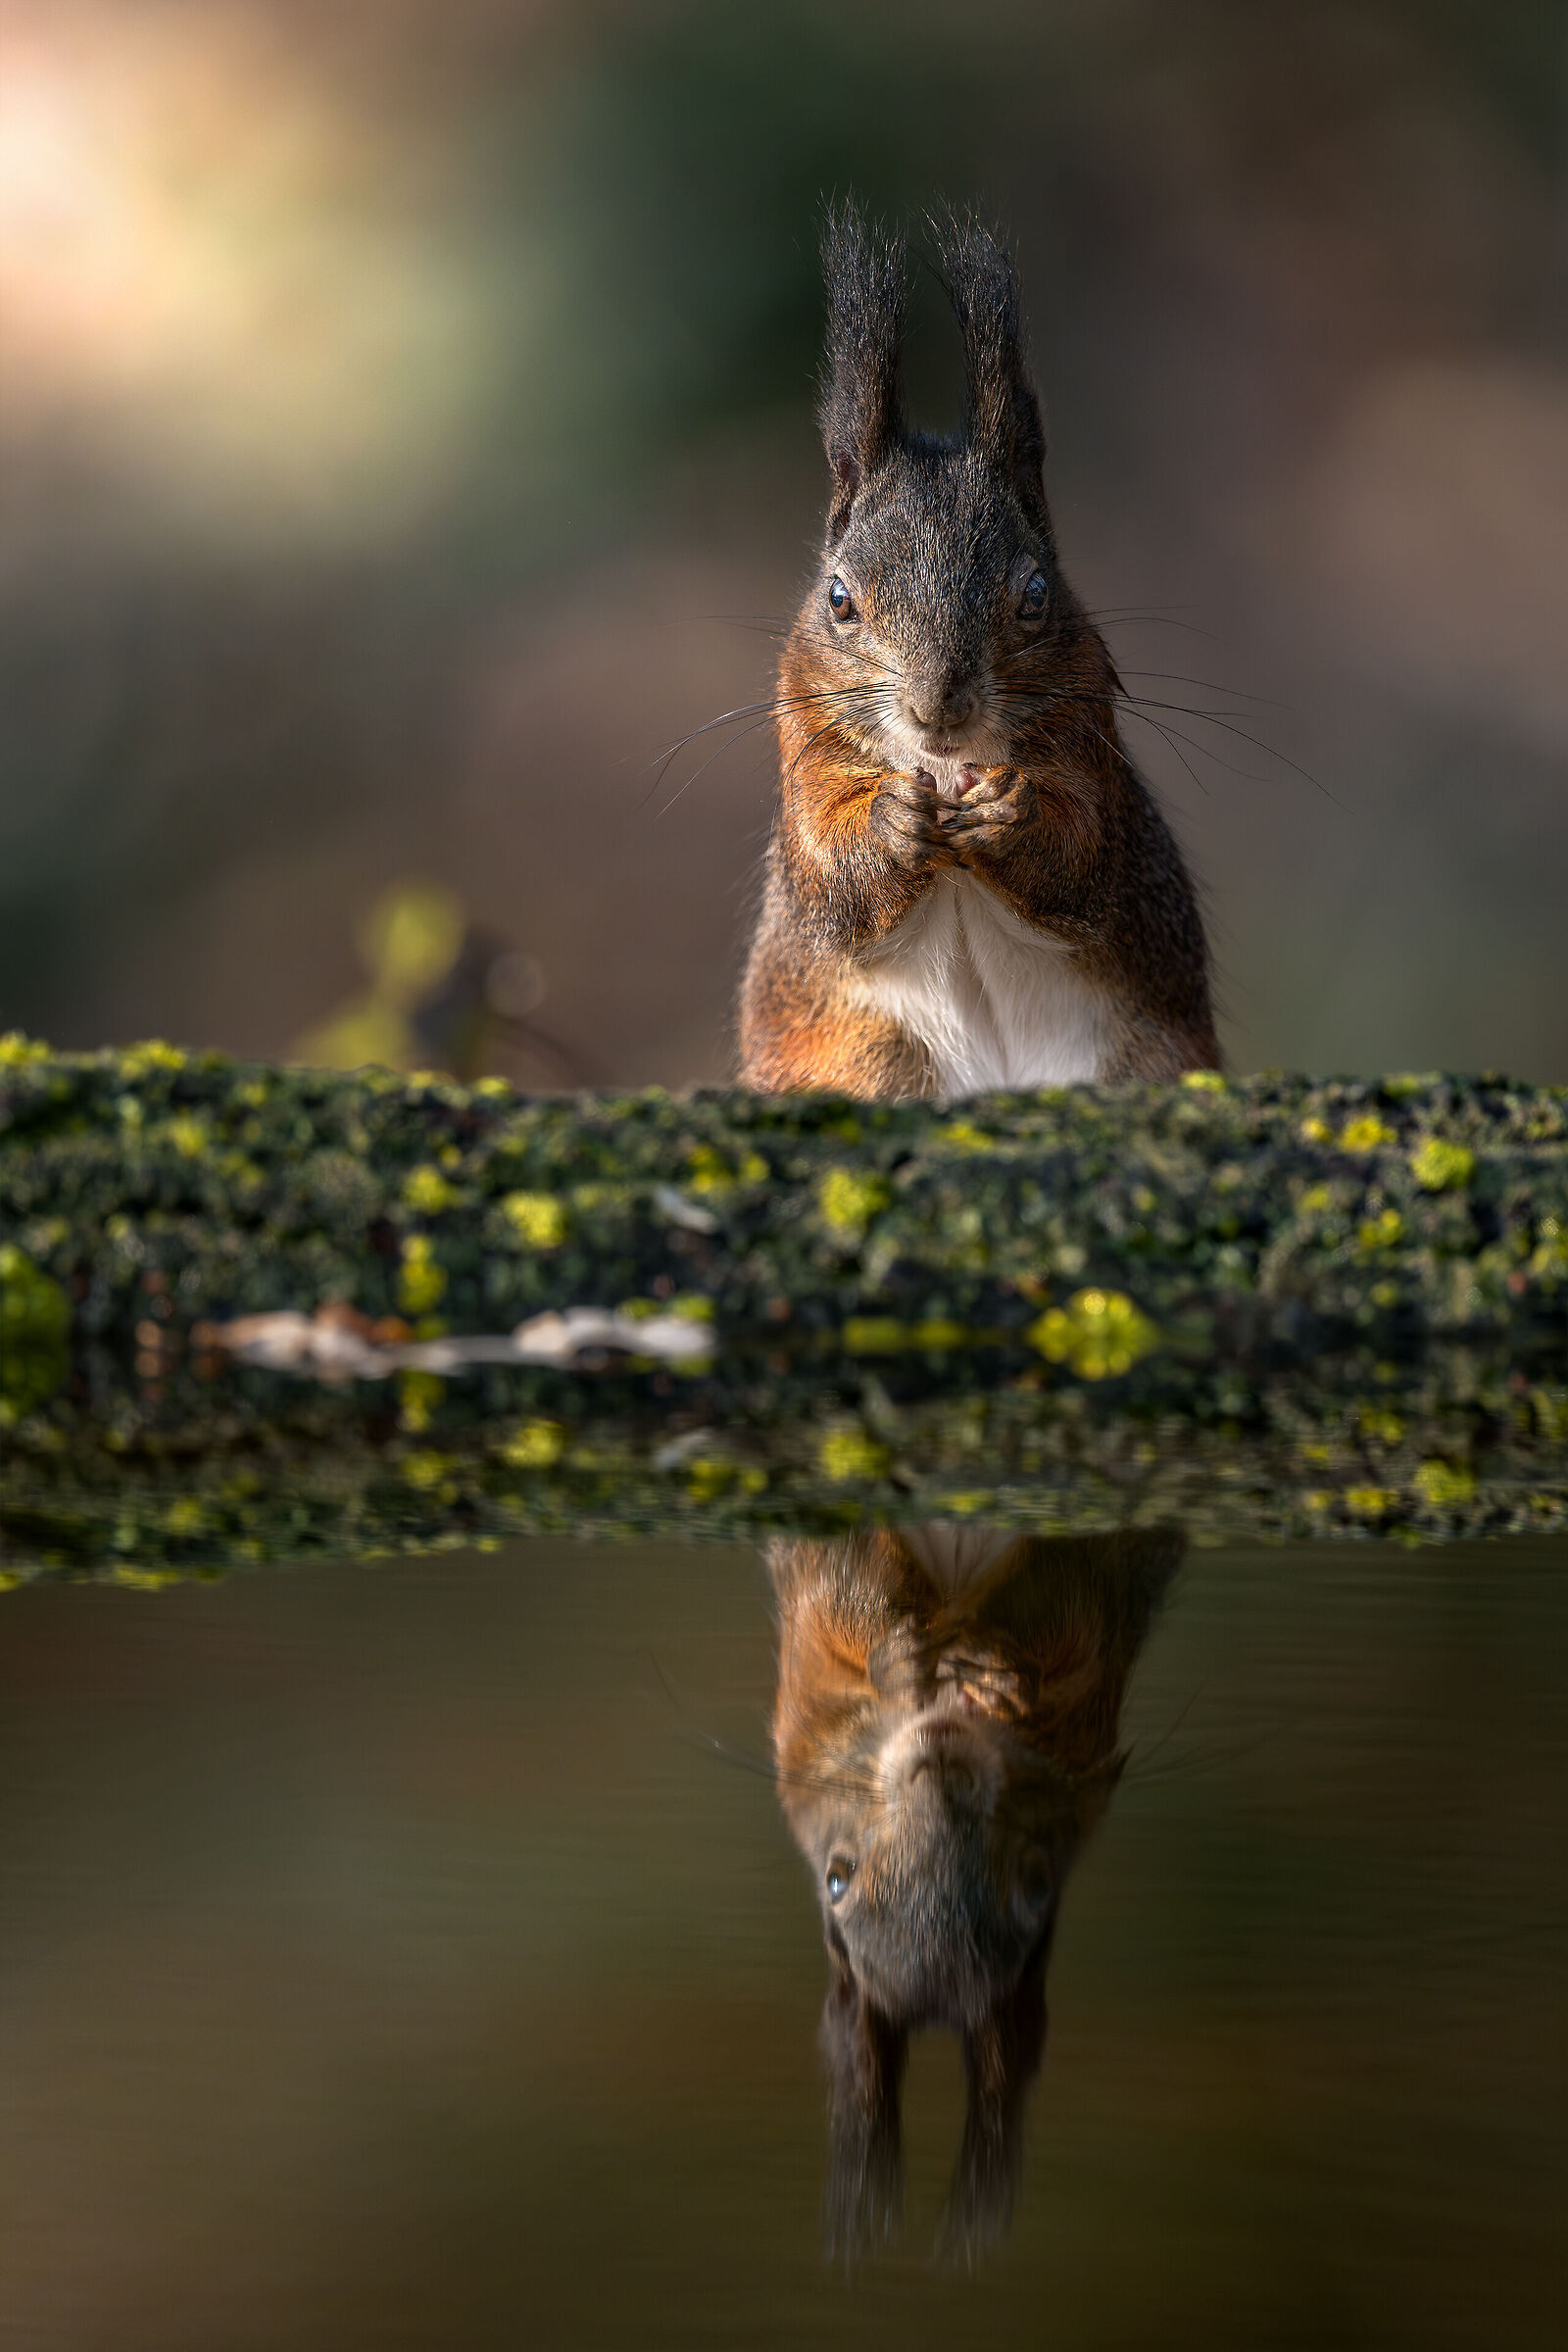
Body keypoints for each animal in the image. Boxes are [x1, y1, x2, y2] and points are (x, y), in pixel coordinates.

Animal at [739, 207, 1220, 1099]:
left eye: (1035, 594)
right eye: (838, 599)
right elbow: (830, 876)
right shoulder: (805, 749)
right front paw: (893, 822)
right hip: (872, 1057)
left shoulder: (1090, 745)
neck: (944, 768)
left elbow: (1083, 852)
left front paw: (1008, 814)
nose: (938, 708)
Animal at [767, 1521, 1182, 2261]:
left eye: (1038, 1887)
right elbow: (845, 1589)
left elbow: (1062, 1599)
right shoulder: (813, 1662)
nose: (941, 1765)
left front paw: (1001, 1671)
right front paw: (898, 1660)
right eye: (835, 1878)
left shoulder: (1088, 1653)